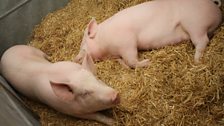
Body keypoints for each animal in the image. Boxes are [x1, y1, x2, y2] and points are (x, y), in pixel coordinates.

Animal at [74, 0, 221, 68]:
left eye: (83, 46)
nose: (75, 59)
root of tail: (216, 9)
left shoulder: (127, 42)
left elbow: (132, 61)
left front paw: (148, 61)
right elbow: (124, 62)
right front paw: (122, 64)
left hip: (195, 25)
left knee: (202, 41)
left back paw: (196, 60)